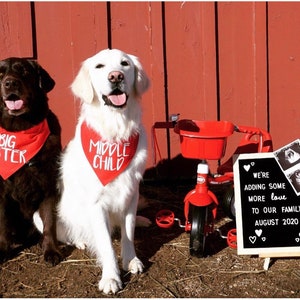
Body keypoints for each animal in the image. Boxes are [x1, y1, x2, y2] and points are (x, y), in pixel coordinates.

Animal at [0, 56, 62, 264]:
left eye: (24, 71)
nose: (10, 83)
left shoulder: (49, 186)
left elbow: (49, 223)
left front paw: (51, 250)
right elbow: (3, 224)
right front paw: (2, 249)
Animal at [37, 48, 150, 292]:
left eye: (125, 64)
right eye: (99, 66)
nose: (116, 76)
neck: (115, 132)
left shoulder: (131, 193)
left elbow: (128, 232)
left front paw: (131, 260)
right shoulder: (96, 204)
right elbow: (106, 244)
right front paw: (111, 277)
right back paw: (81, 239)